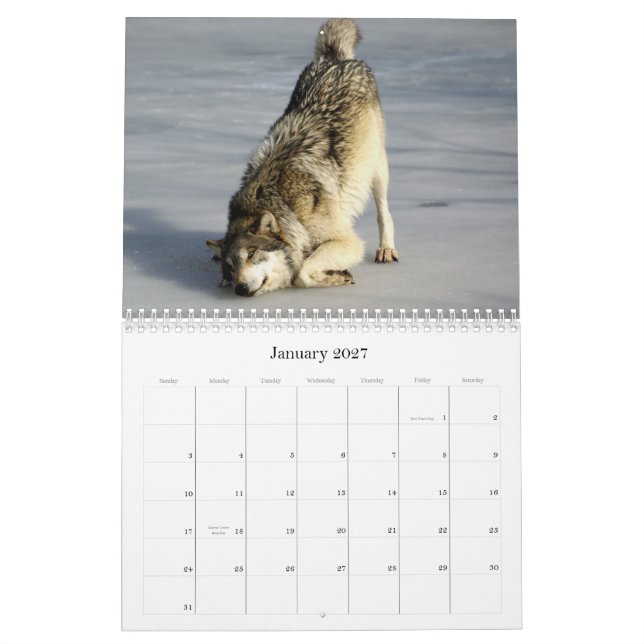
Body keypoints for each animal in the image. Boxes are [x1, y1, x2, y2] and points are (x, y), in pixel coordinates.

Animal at [207, 18, 398, 297]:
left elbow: (301, 274)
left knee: (384, 211)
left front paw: (336, 276)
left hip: (376, 167)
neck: (283, 203)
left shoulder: (346, 241)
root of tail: (335, 59)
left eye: (252, 253)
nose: (240, 289)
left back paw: (386, 249)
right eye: (231, 268)